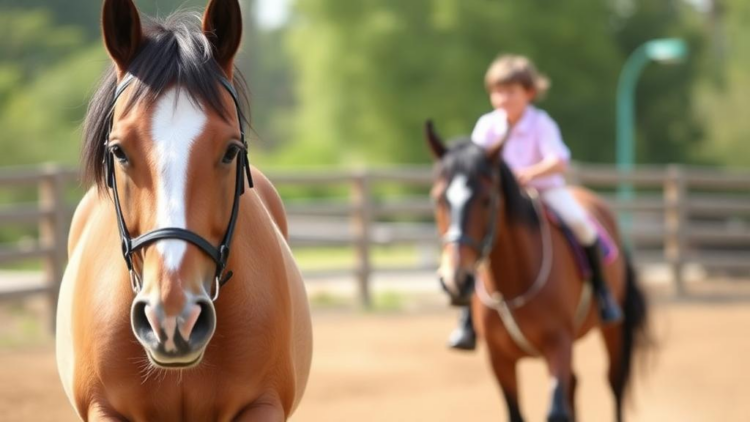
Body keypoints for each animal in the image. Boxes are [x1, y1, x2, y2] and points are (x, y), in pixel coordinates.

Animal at [424, 121, 651, 422]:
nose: (456, 281)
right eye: (438, 198)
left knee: (615, 385)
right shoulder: (500, 360)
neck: (514, 281)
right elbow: (518, 413)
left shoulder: (559, 345)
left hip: (613, 332)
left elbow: (556, 411)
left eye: (487, 199)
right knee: (575, 385)